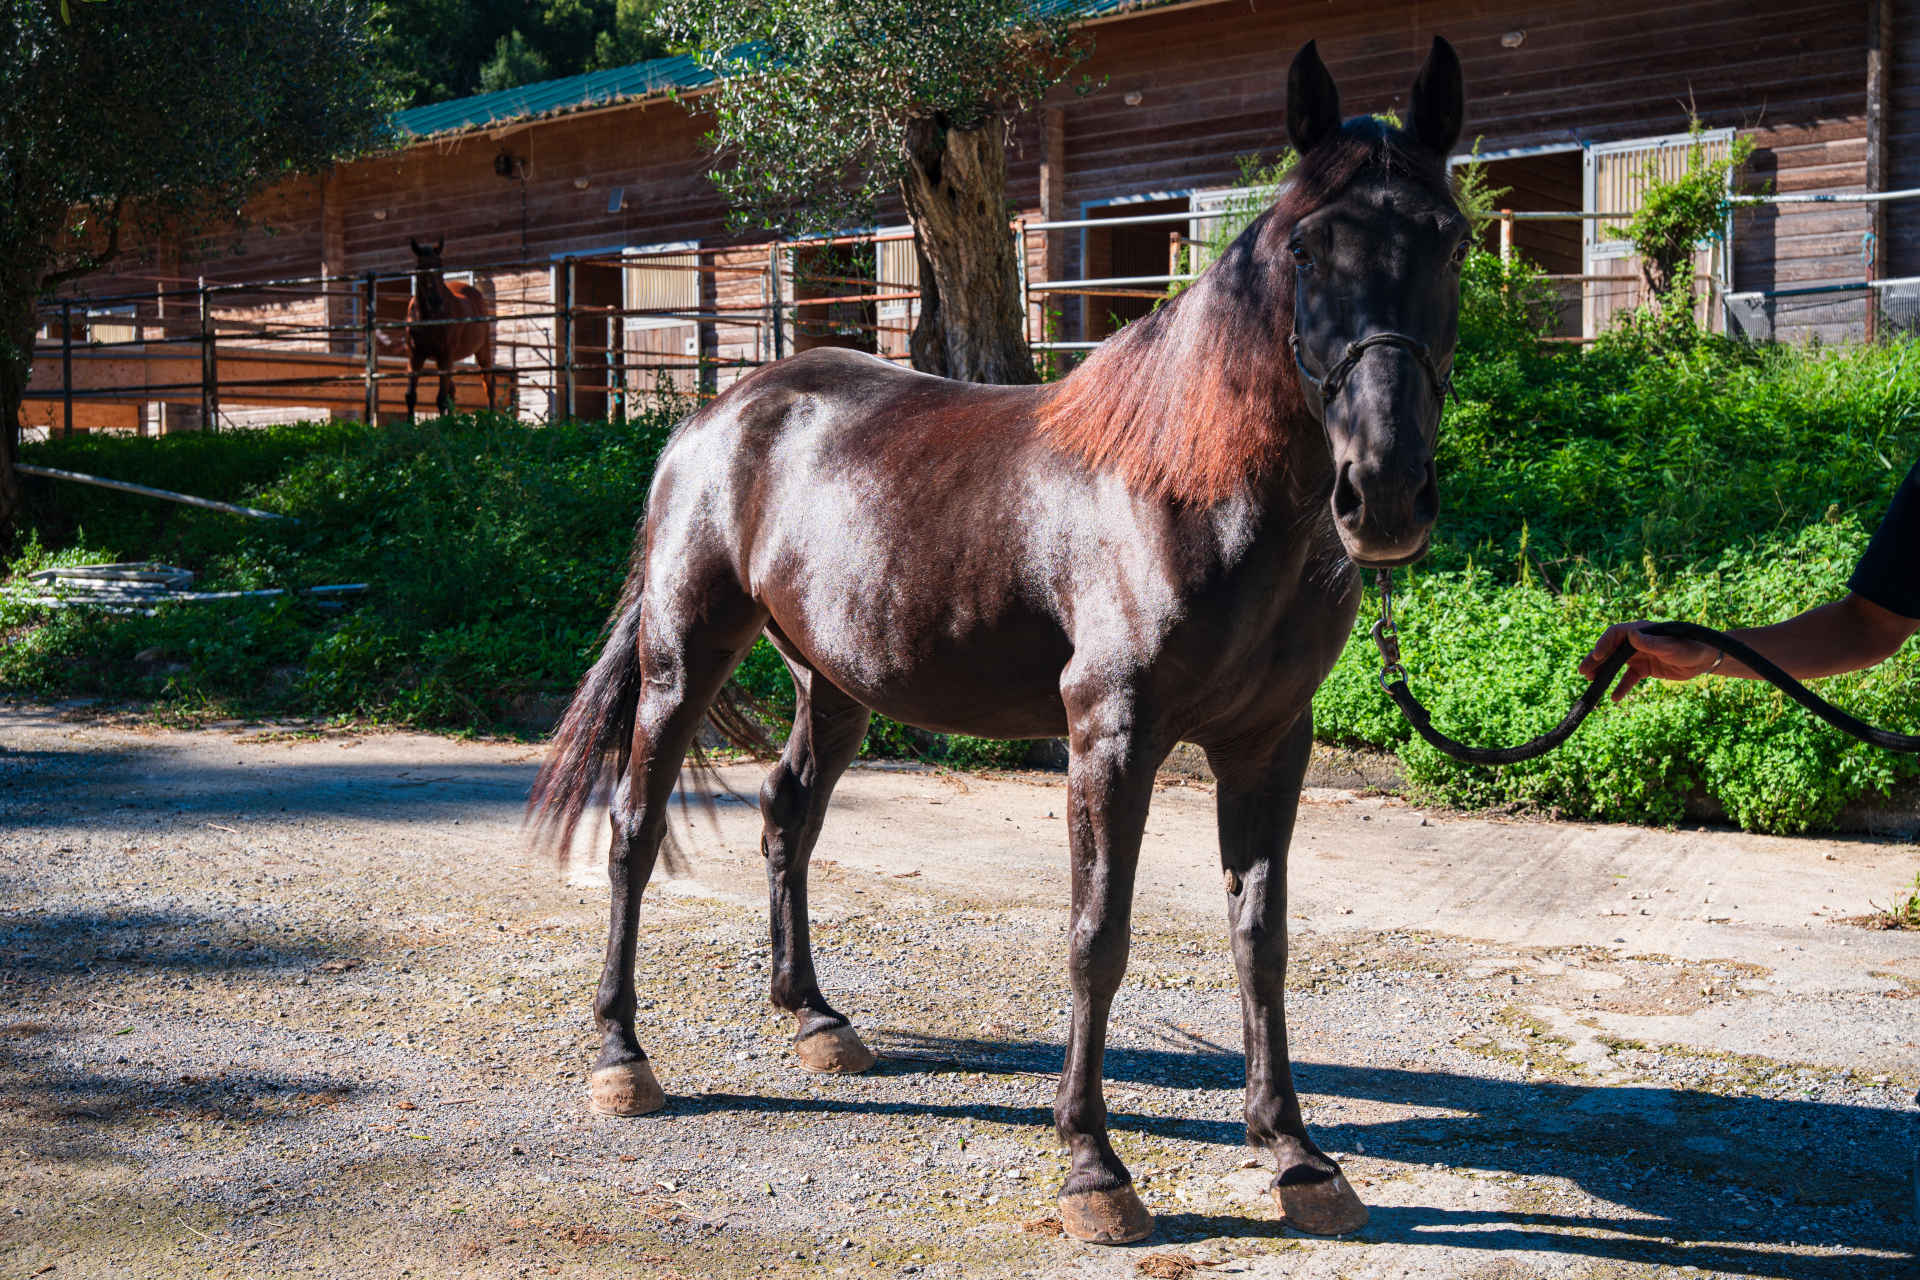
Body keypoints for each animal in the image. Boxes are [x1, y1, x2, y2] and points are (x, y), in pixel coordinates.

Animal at [404, 236, 498, 421]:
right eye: (420, 268)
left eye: (440, 266)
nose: (436, 302)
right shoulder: (415, 356)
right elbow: (411, 395)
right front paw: (409, 425)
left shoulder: (444, 356)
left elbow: (441, 398)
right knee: (452, 392)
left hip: (481, 350)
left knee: (488, 386)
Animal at [529, 38, 1467, 1246]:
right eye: (1308, 245)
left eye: (1449, 239)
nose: (1384, 492)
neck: (1189, 487)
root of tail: (711, 419)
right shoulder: (1110, 735)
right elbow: (1097, 934)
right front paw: (1094, 1167)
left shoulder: (1269, 743)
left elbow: (1261, 938)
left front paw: (1296, 1154)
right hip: (683, 655)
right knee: (636, 829)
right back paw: (623, 1055)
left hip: (832, 682)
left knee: (789, 815)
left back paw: (816, 1019)